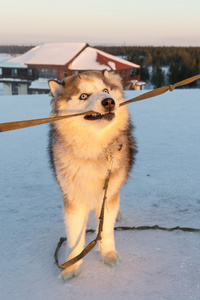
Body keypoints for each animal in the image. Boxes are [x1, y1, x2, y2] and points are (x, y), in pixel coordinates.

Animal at [48, 70, 138, 278]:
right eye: (83, 96)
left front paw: (108, 254)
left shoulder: (108, 194)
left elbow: (106, 228)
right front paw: (71, 266)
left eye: (105, 90)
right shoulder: (73, 199)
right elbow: (74, 235)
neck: (92, 152)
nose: (109, 101)